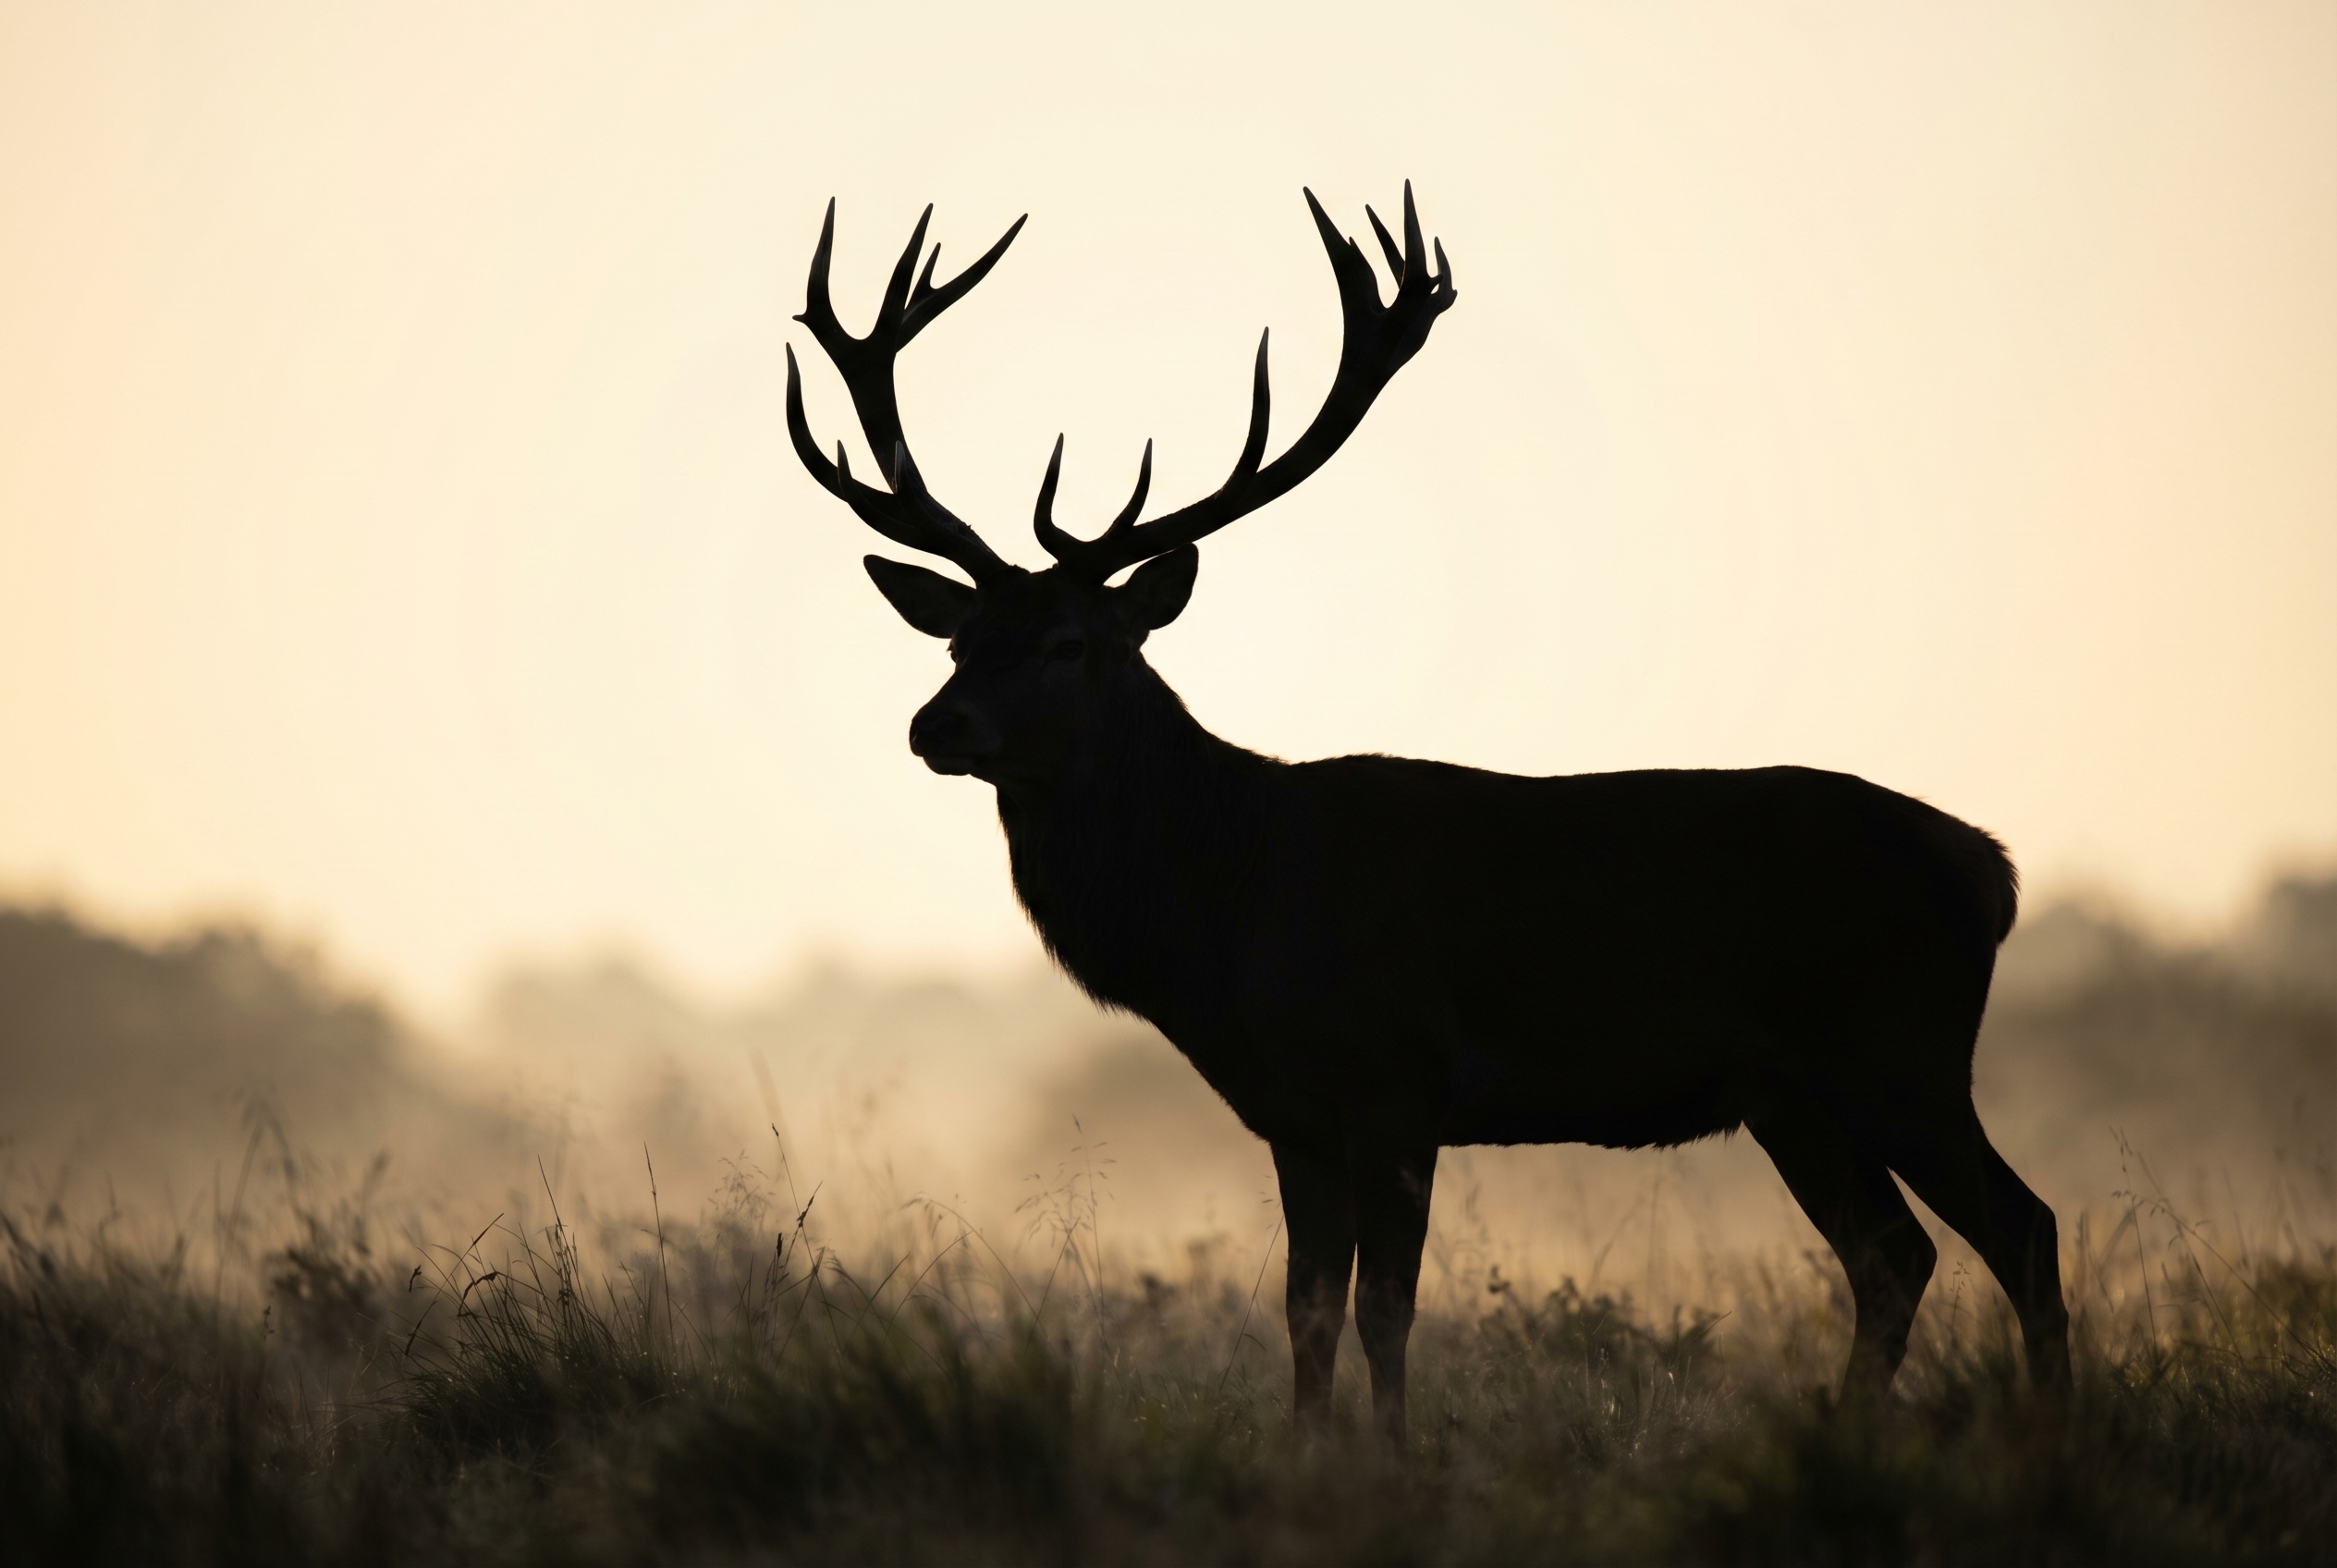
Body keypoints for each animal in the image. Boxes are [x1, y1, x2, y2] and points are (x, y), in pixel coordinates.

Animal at [781, 185, 2072, 1443]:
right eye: (957, 637)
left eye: (1068, 642)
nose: (935, 725)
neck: (1229, 908)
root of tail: (1992, 869)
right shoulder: (1293, 1115)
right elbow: (1303, 1312)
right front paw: (1306, 1462)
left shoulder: (1399, 1078)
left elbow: (1383, 1312)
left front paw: (1394, 1464)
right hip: (1792, 1092)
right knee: (1893, 1257)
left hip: (1897, 1049)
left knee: (2019, 1227)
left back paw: (2051, 1437)